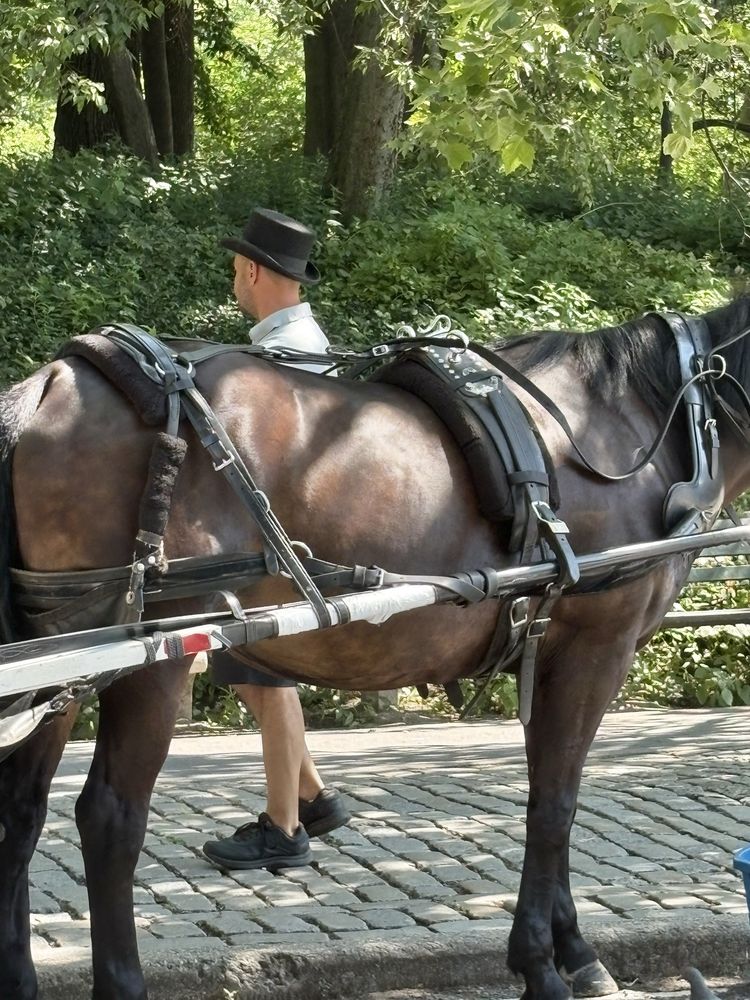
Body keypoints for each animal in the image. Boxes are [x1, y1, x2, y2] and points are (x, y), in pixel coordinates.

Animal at [1, 294, 749, 1000]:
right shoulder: (596, 645)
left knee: (22, 812)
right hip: (148, 656)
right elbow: (555, 803)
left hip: (59, 656)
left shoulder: (553, 650)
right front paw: (542, 963)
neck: (652, 419)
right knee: (109, 817)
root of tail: (54, 383)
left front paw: (574, 949)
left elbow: (552, 790)